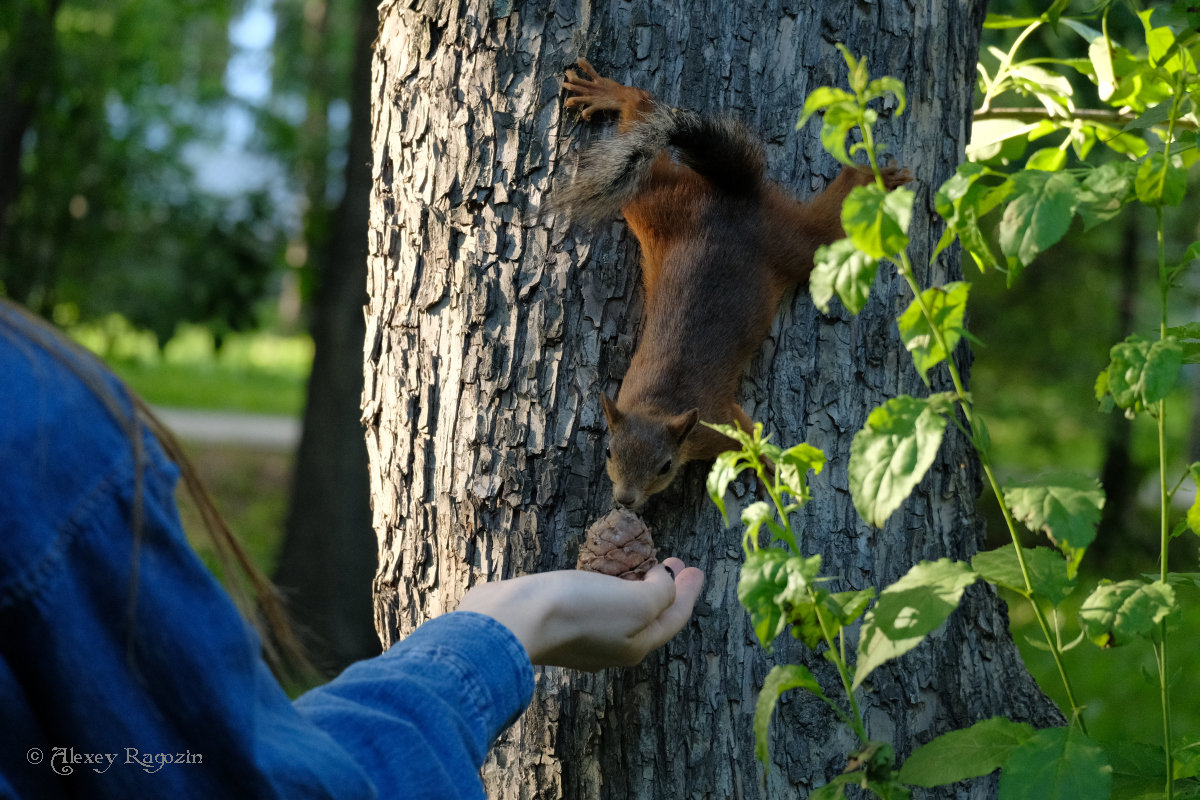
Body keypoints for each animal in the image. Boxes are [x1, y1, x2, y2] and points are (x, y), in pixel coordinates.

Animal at [561, 59, 907, 510]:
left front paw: (772, 469)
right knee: (640, 108)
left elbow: (751, 436)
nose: (625, 499)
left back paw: (871, 177)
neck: (658, 405)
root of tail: (733, 195)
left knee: (821, 227)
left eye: (665, 467)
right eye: (607, 451)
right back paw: (609, 94)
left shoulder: (717, 423)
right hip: (652, 200)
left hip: (788, 244)